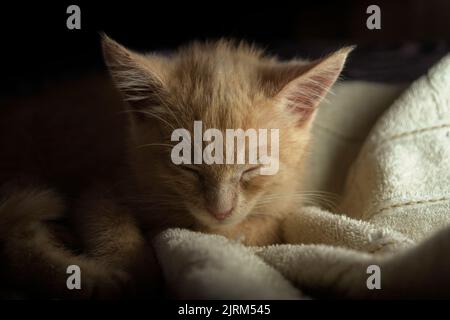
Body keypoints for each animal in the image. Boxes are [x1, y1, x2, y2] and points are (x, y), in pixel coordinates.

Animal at [0, 35, 352, 298]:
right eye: (188, 168)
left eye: (252, 169)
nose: (220, 210)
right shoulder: (101, 185)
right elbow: (108, 220)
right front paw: (135, 271)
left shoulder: (283, 205)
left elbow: (261, 229)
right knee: (17, 235)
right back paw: (94, 281)